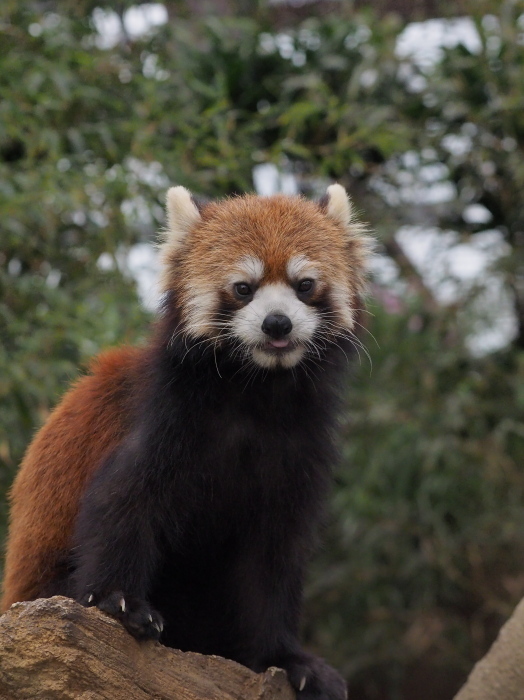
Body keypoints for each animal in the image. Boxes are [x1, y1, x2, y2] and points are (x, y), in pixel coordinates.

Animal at [4, 186, 372, 700]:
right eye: (243, 288)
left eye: (304, 284)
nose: (277, 323)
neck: (255, 391)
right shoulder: (164, 418)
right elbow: (122, 504)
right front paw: (122, 604)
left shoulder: (299, 449)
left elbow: (272, 561)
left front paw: (287, 659)